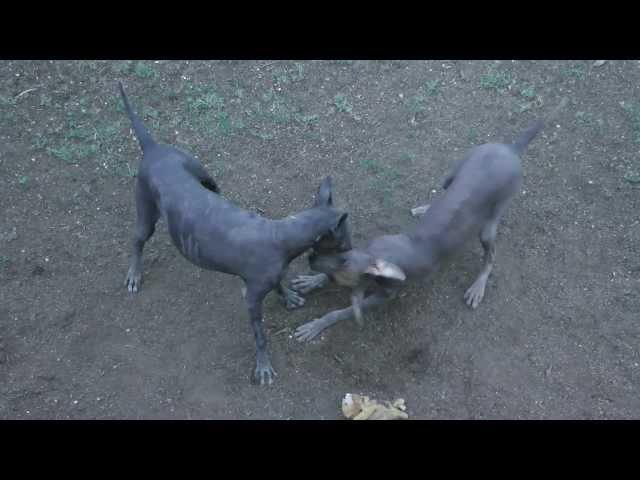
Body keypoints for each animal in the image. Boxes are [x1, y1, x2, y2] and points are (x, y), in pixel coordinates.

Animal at [117, 81, 352, 382]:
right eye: (343, 244)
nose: (353, 254)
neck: (282, 234)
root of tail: (154, 147)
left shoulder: (270, 274)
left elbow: (279, 283)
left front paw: (287, 296)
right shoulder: (251, 299)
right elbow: (260, 335)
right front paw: (263, 366)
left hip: (207, 178)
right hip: (146, 209)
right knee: (137, 240)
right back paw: (134, 274)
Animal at [290, 101, 564, 342]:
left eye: (343, 264)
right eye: (340, 255)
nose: (310, 259)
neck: (379, 256)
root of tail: (511, 149)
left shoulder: (384, 296)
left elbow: (345, 310)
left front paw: (318, 323)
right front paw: (313, 280)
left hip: (489, 224)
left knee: (490, 257)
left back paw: (478, 287)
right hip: (455, 171)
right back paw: (424, 209)